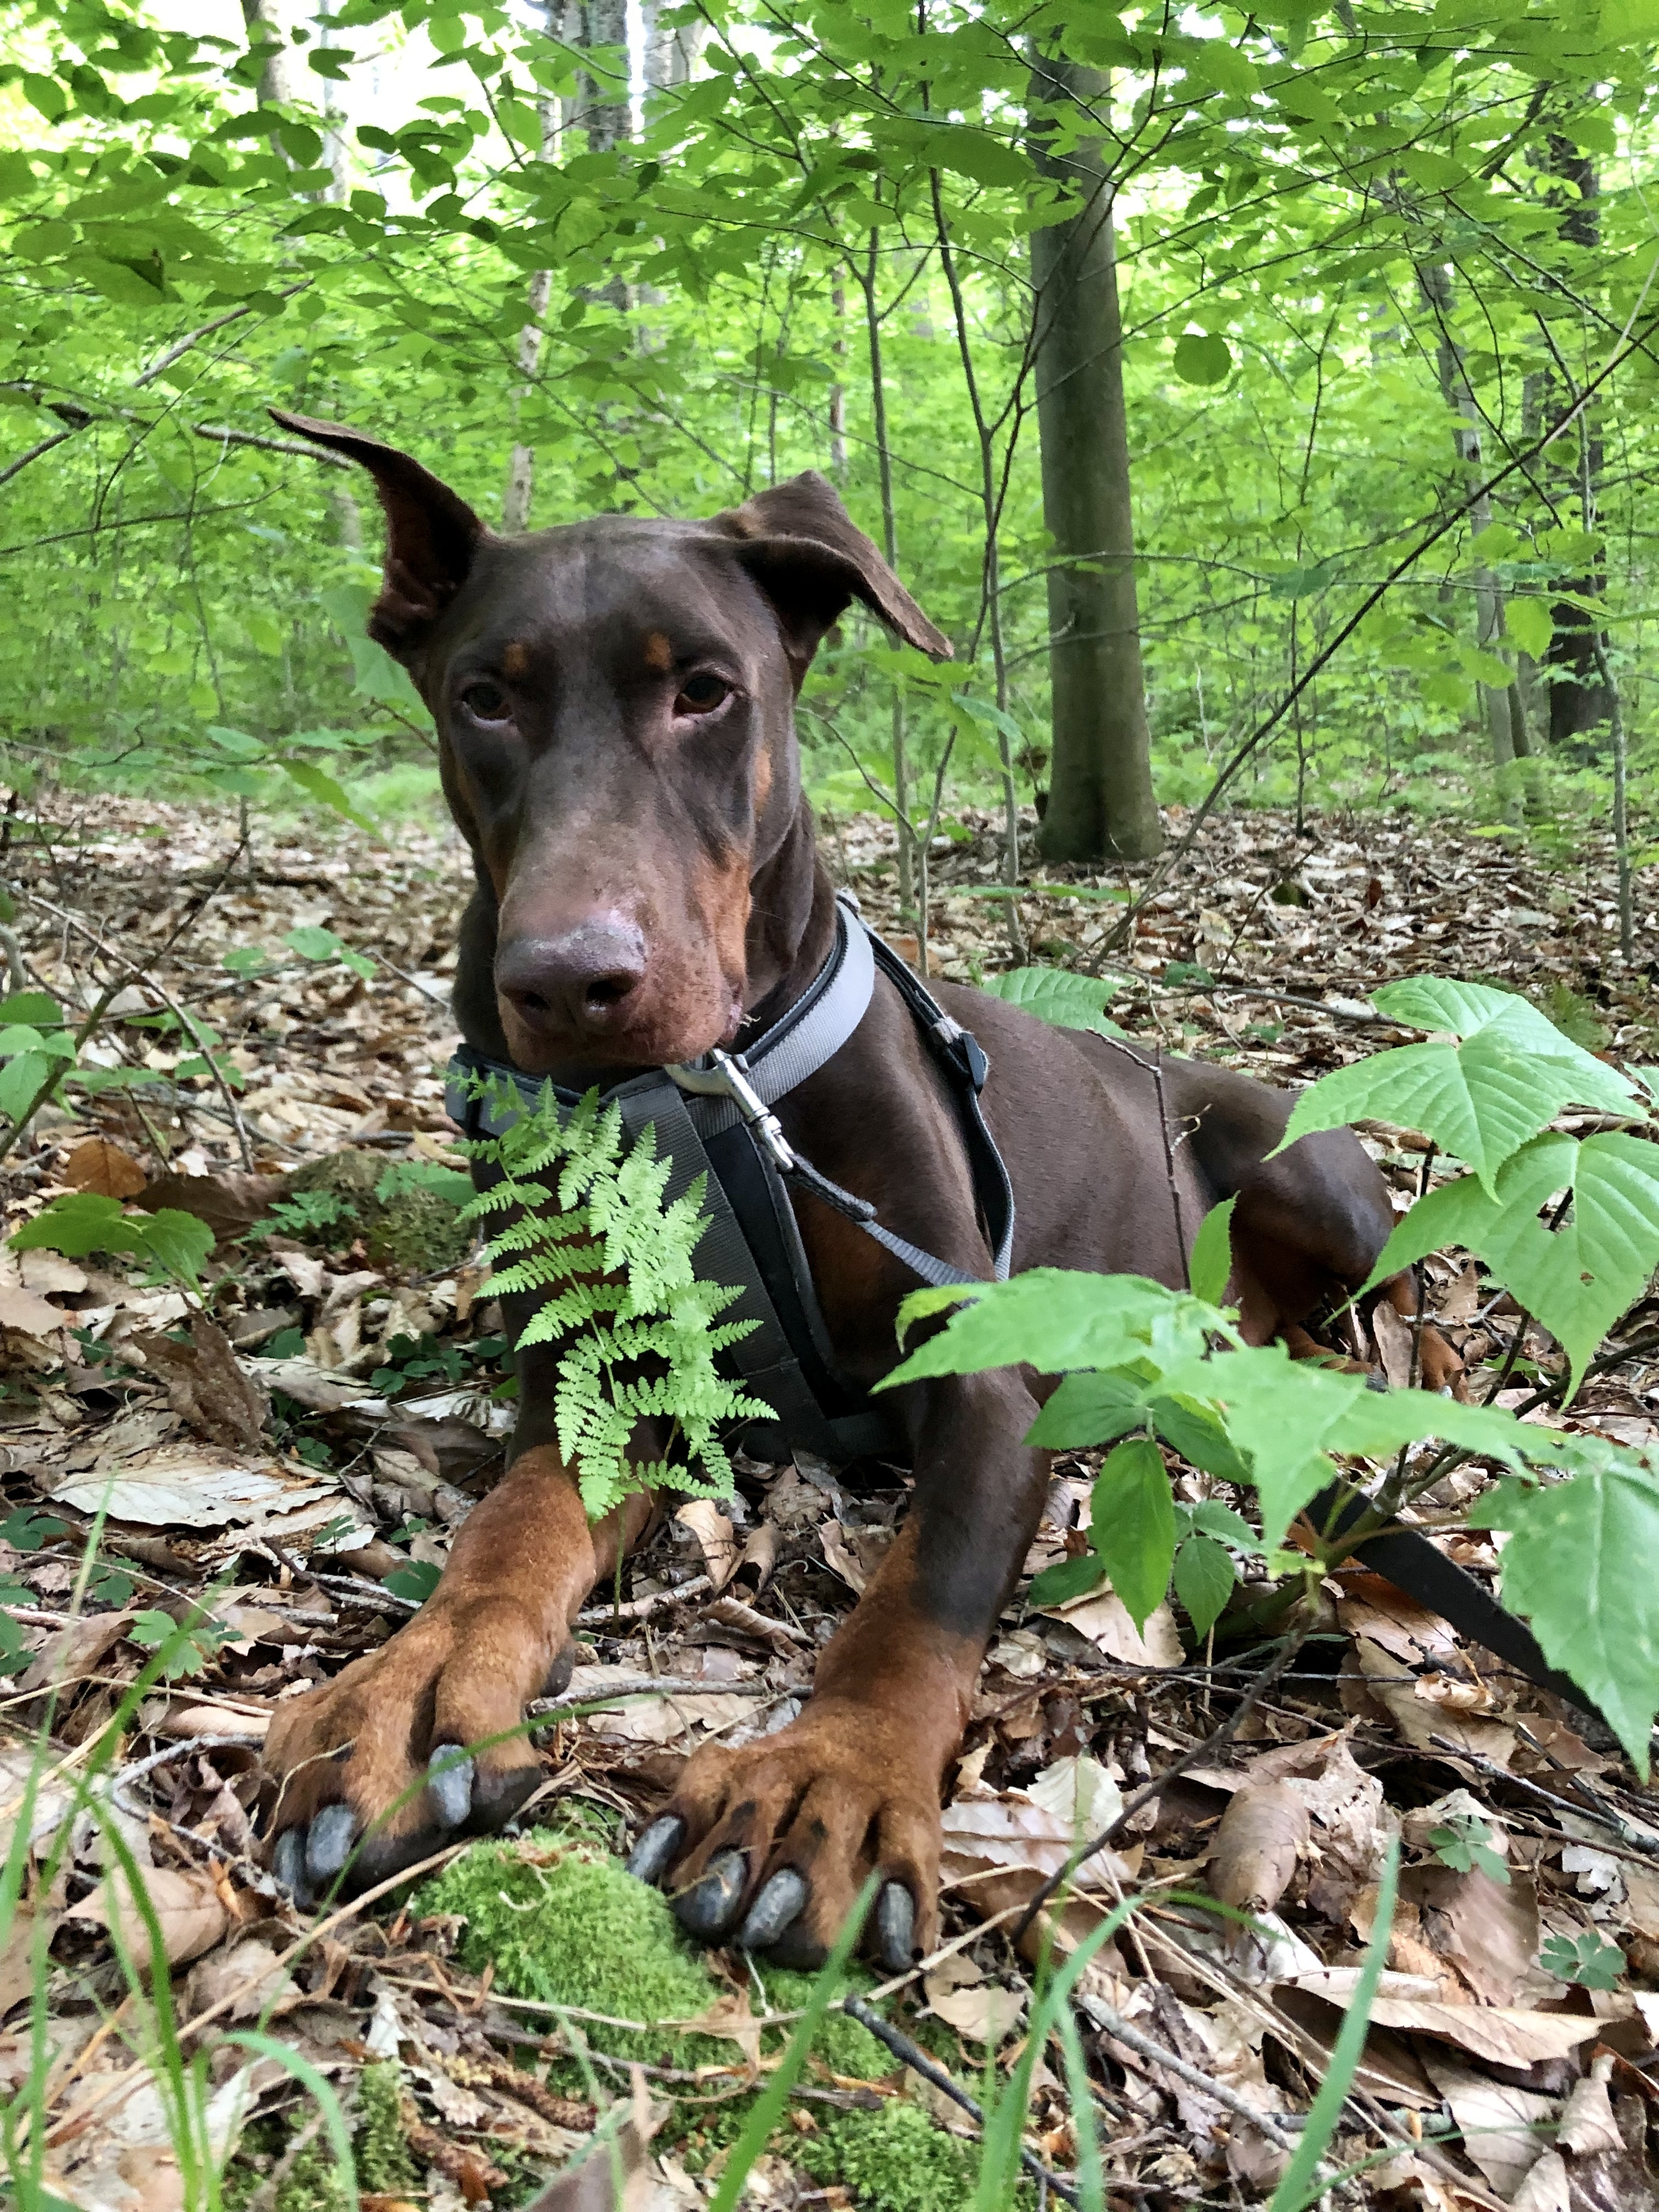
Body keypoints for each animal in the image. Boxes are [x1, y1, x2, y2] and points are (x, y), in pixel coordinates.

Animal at [263, 418, 1451, 1973]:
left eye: (706, 690)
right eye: (484, 700)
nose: (568, 985)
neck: (709, 1099)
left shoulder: (984, 1371)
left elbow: (915, 1596)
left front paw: (821, 1780)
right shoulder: (600, 1376)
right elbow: (508, 1534)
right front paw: (412, 1692)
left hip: (1295, 1160)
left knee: (1392, 1311)